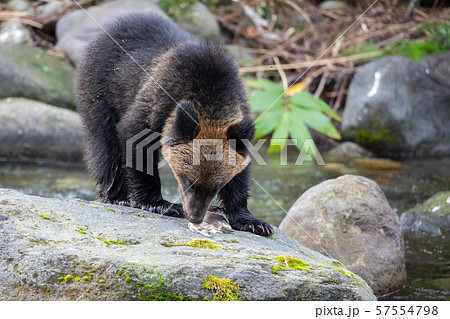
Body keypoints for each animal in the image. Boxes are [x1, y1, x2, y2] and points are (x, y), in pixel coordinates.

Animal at [75, 13, 272, 238]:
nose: (195, 216)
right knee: (105, 146)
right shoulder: (158, 100)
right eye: (186, 179)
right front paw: (161, 203)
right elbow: (135, 139)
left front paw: (252, 222)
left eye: (216, 186)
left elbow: (241, 173)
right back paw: (117, 196)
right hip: (102, 92)